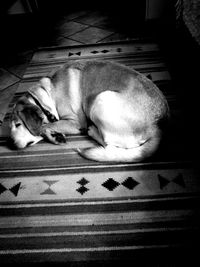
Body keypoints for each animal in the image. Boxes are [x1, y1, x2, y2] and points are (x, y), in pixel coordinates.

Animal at [8, 59, 170, 162]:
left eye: (18, 124)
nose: (12, 144)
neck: (47, 94)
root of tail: (157, 126)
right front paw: (55, 136)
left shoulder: (75, 122)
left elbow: (45, 126)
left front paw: (52, 134)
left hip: (100, 100)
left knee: (109, 143)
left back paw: (92, 131)